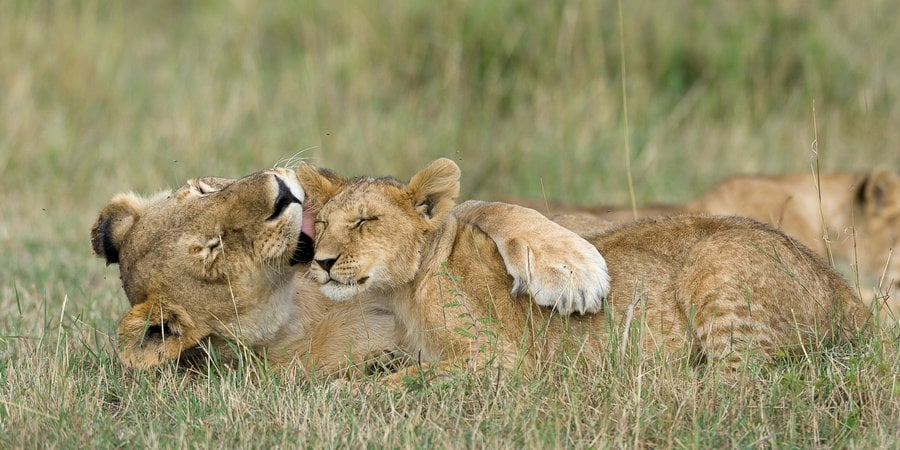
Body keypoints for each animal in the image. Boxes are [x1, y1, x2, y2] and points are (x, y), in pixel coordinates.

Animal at [91, 168, 612, 373]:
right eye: (211, 248)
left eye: (202, 190)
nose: (281, 191)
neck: (296, 299)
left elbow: (495, 209)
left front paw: (571, 269)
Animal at [300, 158, 870, 379]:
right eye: (322, 223)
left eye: (366, 221)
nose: (321, 262)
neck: (406, 289)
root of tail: (845, 291)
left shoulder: (498, 361)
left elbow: (394, 384)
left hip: (718, 272)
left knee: (736, 382)